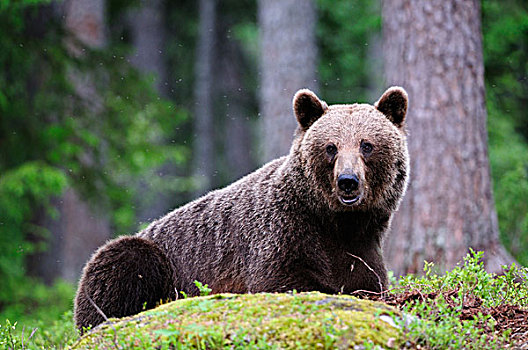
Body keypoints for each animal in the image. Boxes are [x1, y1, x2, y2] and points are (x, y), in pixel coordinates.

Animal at [73, 87, 408, 330]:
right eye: (330, 147)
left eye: (367, 144)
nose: (347, 181)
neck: (335, 222)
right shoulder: (281, 234)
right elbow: (281, 281)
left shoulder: (361, 249)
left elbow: (367, 282)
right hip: (154, 257)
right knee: (122, 261)